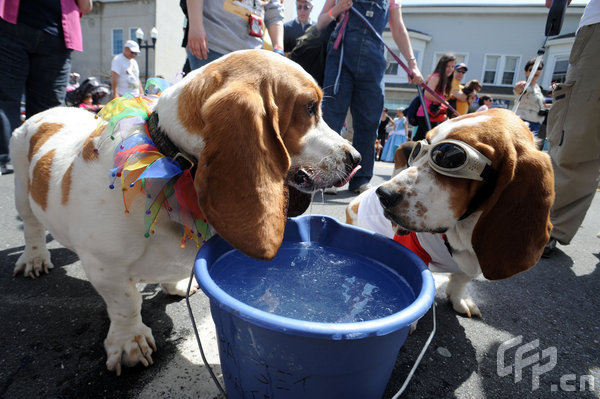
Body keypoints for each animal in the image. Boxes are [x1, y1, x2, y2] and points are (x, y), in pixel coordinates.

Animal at [10, 50, 360, 376]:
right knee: (32, 228)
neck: (170, 161)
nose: (356, 159)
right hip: (21, 190)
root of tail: (48, 112)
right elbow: (126, 303)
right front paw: (128, 343)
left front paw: (175, 285)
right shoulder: (104, 266)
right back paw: (35, 259)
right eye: (310, 107)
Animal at [346, 108, 552, 318]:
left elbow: (461, 280)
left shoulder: (473, 263)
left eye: (450, 157)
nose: (384, 195)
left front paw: (460, 300)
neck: (461, 233)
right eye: (420, 148)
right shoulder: (413, 249)